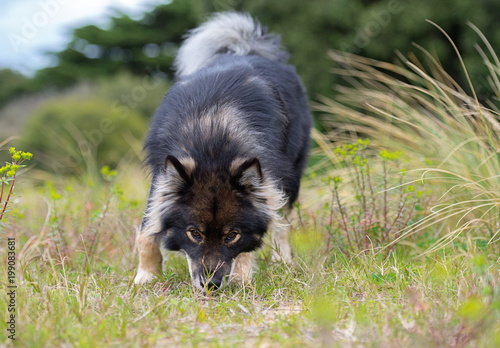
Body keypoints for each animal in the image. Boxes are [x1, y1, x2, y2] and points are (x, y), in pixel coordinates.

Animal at [135, 12, 310, 290]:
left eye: (232, 235)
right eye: (195, 234)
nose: (210, 285)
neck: (212, 140)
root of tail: (247, 48)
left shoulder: (268, 180)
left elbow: (258, 235)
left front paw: (241, 277)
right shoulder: (161, 179)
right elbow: (146, 232)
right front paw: (146, 276)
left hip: (290, 177)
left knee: (283, 223)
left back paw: (283, 261)